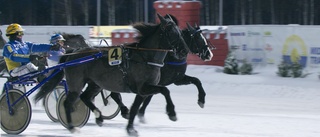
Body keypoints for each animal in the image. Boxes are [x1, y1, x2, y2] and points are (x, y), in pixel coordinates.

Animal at [33, 13, 188, 135]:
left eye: (180, 31)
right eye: (171, 32)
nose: (184, 50)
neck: (144, 57)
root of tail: (74, 53)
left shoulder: (142, 90)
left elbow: (135, 108)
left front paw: (130, 129)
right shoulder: (143, 87)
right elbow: (165, 90)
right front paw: (172, 113)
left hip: (95, 83)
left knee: (85, 97)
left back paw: (98, 116)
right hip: (76, 83)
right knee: (68, 102)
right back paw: (72, 127)